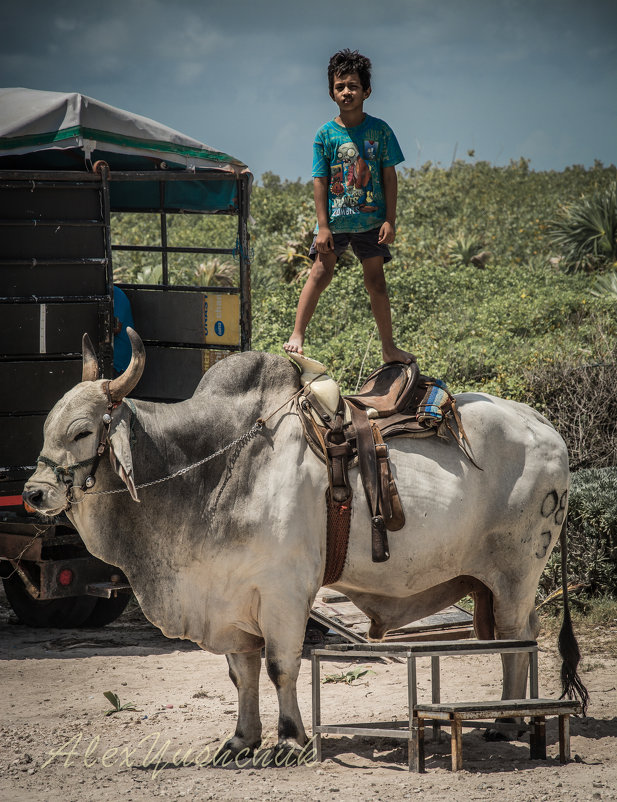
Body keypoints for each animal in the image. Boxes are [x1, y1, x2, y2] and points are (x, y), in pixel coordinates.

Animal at [24, 328, 584, 752]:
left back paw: (507, 721)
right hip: (493, 582)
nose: (34, 493)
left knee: (517, 638)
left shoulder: (285, 591)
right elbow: (242, 672)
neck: (211, 465)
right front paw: (242, 740)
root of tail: (543, 423)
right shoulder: (230, 596)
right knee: (520, 636)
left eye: (81, 431)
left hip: (515, 575)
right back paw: (513, 716)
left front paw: (290, 739)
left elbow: (280, 665)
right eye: (47, 425)